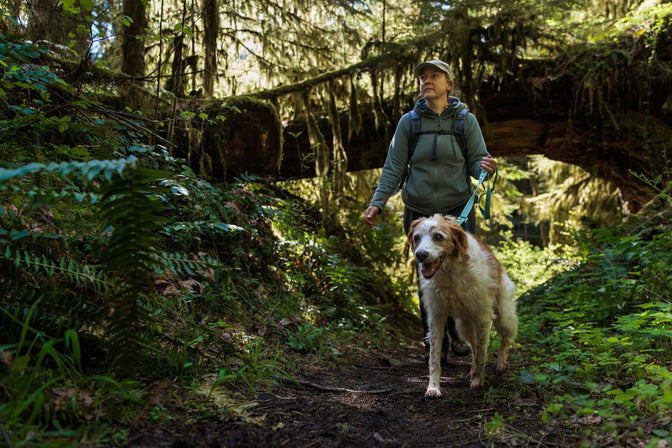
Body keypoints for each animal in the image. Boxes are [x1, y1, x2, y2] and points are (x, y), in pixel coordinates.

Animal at [404, 215, 520, 398]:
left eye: (438, 237)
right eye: (416, 238)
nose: (420, 255)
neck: (450, 273)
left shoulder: (482, 317)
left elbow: (482, 352)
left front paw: (478, 381)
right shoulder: (436, 317)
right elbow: (434, 357)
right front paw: (433, 387)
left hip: (502, 315)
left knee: (505, 339)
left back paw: (500, 363)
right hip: (463, 326)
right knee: (473, 346)